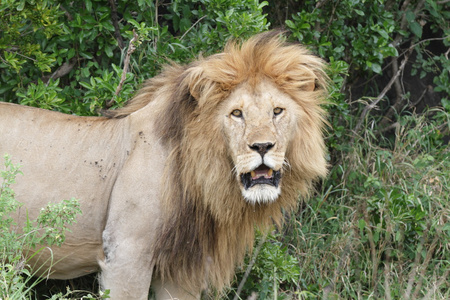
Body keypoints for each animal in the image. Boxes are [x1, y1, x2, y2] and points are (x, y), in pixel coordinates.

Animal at [1, 31, 328, 298]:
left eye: (277, 111)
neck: (201, 179)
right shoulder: (126, 254)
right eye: (237, 113)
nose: (262, 146)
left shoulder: (181, 270)